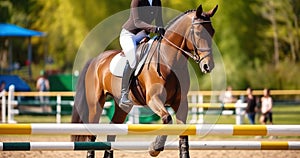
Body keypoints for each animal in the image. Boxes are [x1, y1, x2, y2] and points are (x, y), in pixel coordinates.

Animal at [72, 4, 218, 157]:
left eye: (212, 32)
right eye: (199, 33)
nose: (208, 65)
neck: (168, 60)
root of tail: (95, 60)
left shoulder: (181, 102)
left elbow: (182, 130)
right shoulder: (153, 98)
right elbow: (167, 118)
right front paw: (155, 147)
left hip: (122, 106)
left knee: (112, 130)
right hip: (95, 103)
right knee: (92, 133)